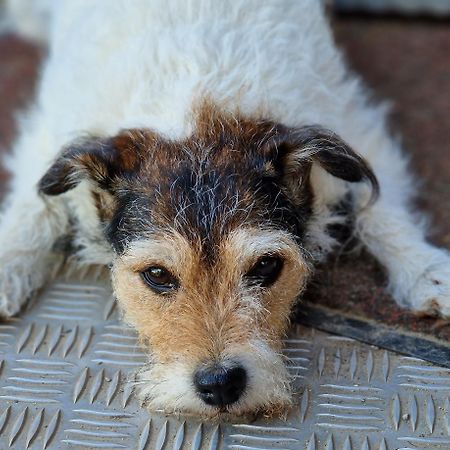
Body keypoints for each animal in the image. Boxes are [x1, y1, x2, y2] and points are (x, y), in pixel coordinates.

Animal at [0, 1, 450, 420]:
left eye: (266, 266)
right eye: (157, 275)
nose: (220, 384)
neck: (200, 104)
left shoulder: (357, 124)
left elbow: (381, 206)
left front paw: (424, 268)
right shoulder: (47, 136)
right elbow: (31, 208)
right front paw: (7, 266)